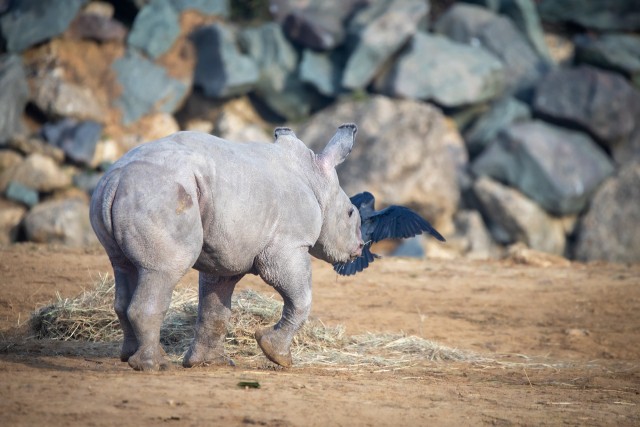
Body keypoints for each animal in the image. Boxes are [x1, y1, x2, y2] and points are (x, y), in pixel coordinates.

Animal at [89, 124, 364, 372]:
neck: (314, 178)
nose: (360, 247)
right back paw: (154, 365)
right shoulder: (288, 245)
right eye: (351, 213)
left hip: (128, 193)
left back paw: (130, 357)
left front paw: (209, 363)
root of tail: (117, 178)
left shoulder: (225, 253)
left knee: (124, 267)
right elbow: (301, 299)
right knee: (162, 271)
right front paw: (277, 355)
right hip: (161, 195)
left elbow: (216, 308)